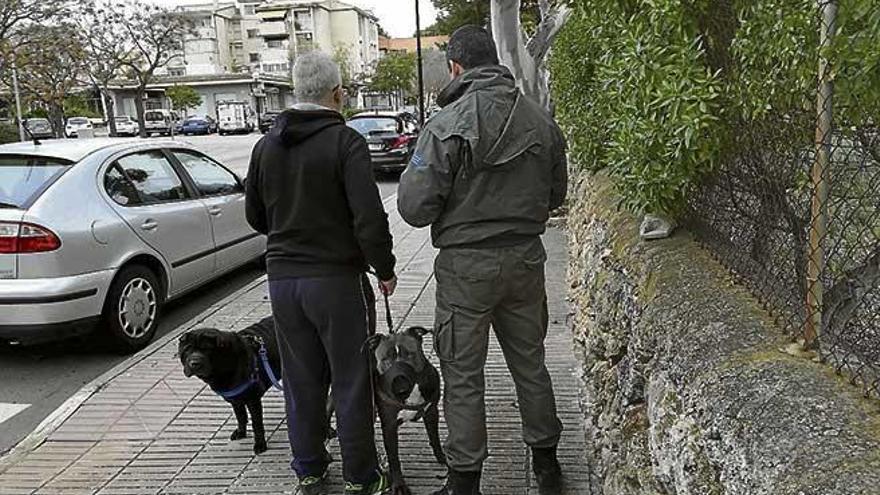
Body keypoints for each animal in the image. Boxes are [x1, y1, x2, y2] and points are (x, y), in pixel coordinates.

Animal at [179, 320, 334, 456]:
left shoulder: (253, 399)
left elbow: (256, 424)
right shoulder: (235, 399)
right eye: (187, 350)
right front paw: (241, 432)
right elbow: (240, 415)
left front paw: (260, 444)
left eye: (207, 349)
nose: (194, 363)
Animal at [364, 328, 446, 494]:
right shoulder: (389, 425)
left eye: (410, 355)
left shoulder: (432, 412)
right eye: (385, 360)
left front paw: (442, 458)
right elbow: (393, 457)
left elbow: (435, 438)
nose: (400, 385)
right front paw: (399, 485)